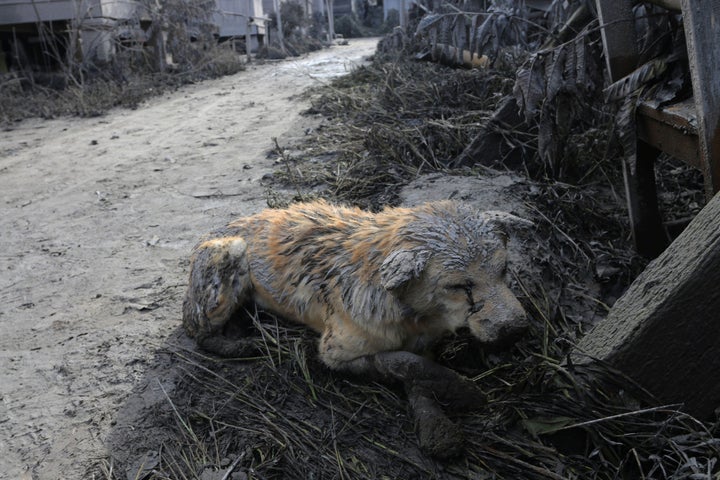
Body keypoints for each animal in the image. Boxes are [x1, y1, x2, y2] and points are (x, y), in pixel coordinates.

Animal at [183, 200, 532, 458]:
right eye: (460, 286)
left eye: (504, 270)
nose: (515, 330)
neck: (412, 314)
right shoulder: (334, 353)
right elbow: (402, 362)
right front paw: (462, 391)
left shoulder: (424, 342)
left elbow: (419, 373)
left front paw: (436, 424)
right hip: (229, 257)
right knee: (197, 332)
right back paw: (240, 345)